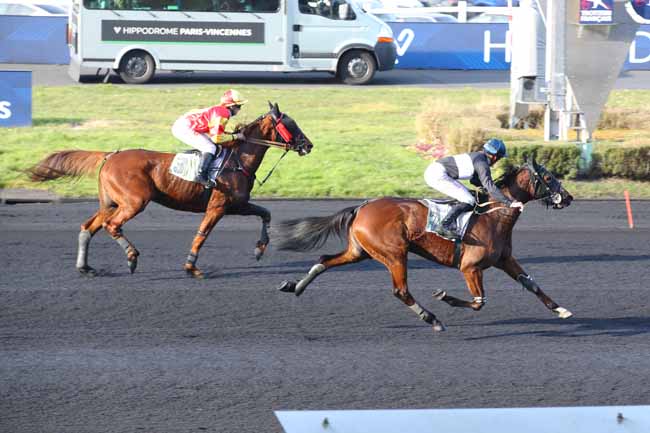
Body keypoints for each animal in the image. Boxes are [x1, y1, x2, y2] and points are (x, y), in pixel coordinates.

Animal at [29, 102, 312, 276]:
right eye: (291, 125)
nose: (308, 145)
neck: (238, 159)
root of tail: (111, 155)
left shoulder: (235, 205)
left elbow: (265, 213)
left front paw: (259, 249)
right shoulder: (218, 206)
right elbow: (202, 234)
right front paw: (191, 267)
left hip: (110, 202)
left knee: (89, 227)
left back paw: (85, 267)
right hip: (134, 201)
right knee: (112, 226)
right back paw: (131, 257)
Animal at [274, 159, 572, 330]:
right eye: (548, 178)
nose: (568, 198)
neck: (493, 216)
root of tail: (361, 207)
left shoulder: (504, 260)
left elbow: (531, 284)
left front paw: (561, 309)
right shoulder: (470, 267)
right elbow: (479, 301)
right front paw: (444, 297)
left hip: (360, 252)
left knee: (324, 260)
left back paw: (295, 286)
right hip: (394, 254)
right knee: (401, 291)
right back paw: (432, 319)